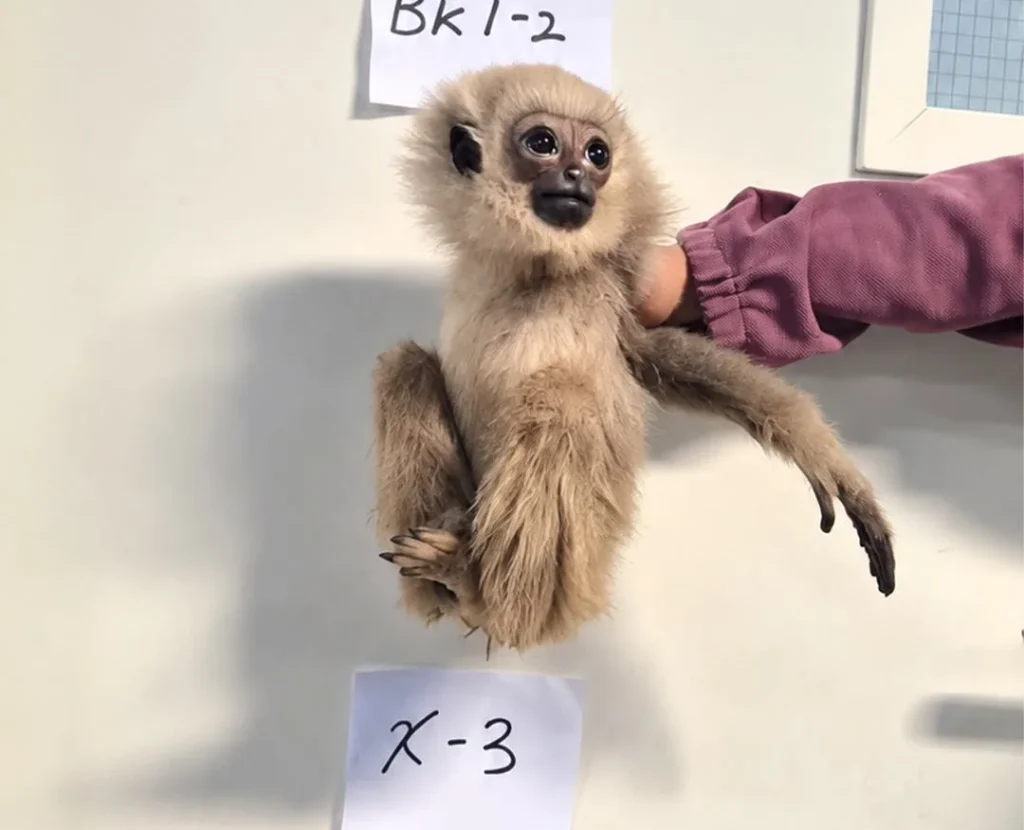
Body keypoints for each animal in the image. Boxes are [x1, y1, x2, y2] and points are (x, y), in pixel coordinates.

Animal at [371, 63, 895, 653]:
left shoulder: (614, 287)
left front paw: (820, 453)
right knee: (405, 367)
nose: (577, 173)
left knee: (559, 398)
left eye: (597, 153)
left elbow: (658, 359)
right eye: (543, 143)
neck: (532, 272)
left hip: (578, 574)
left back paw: (476, 587)